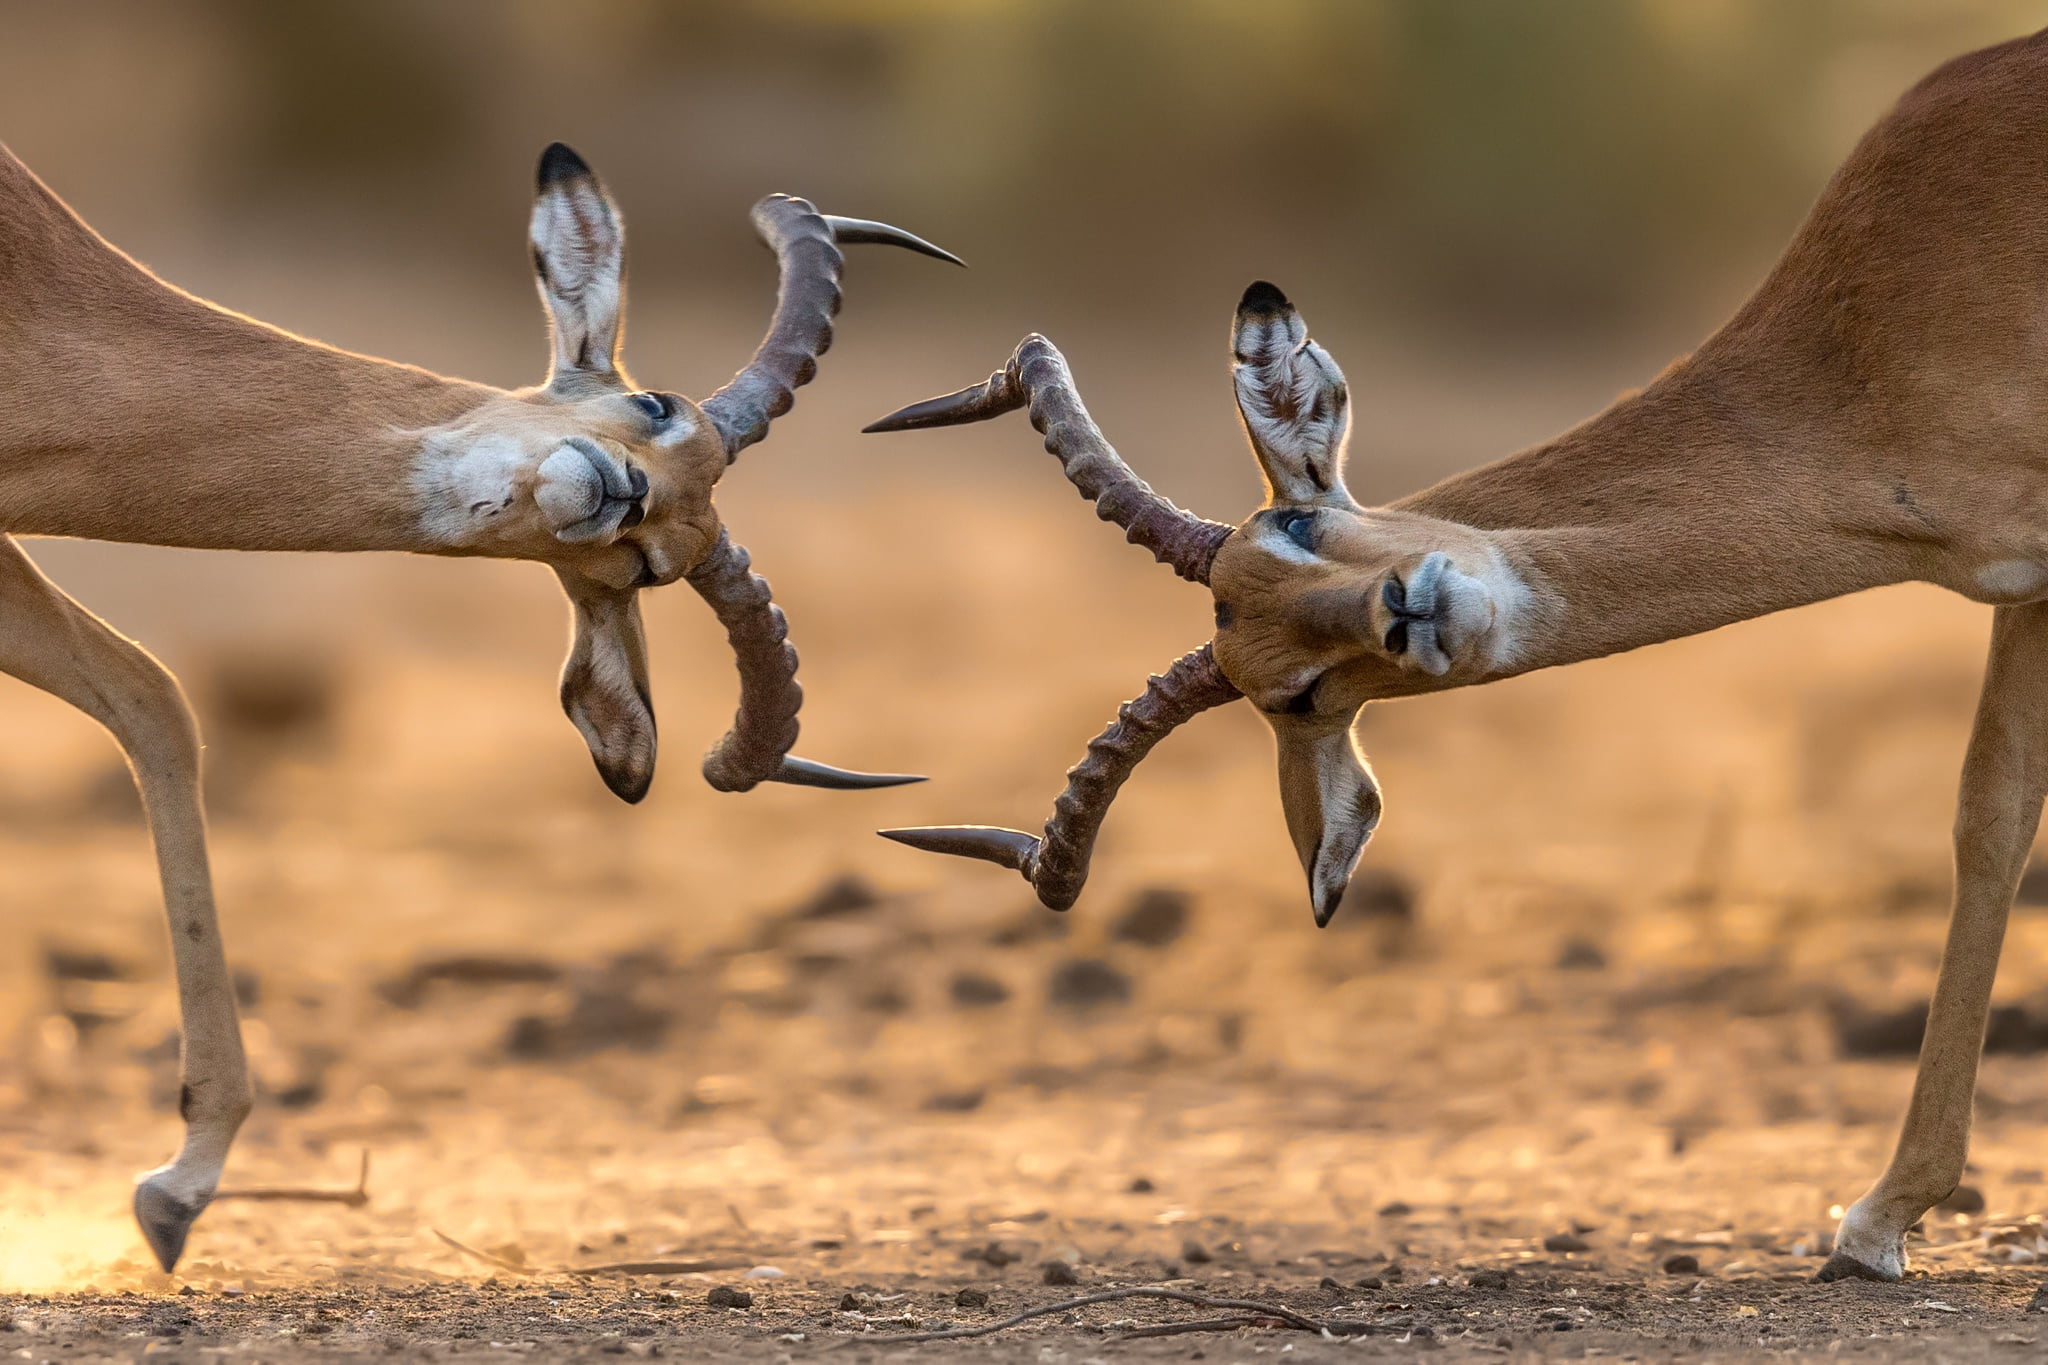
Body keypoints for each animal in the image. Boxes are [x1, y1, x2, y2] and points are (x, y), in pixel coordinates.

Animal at [868, 30, 2048, 1284]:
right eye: (1293, 694)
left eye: (1301, 524)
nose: (1408, 609)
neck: (1874, 336)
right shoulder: (2024, 580)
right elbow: (1989, 817)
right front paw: (1878, 1219)